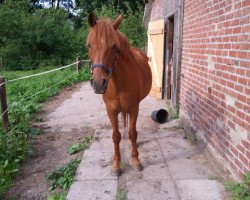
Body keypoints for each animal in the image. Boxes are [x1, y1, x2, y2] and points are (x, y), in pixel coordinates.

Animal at [87, 13, 151, 175]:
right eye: (89, 45)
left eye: (114, 46)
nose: (98, 84)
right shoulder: (111, 110)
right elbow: (116, 136)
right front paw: (116, 165)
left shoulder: (134, 108)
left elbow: (133, 133)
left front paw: (136, 161)